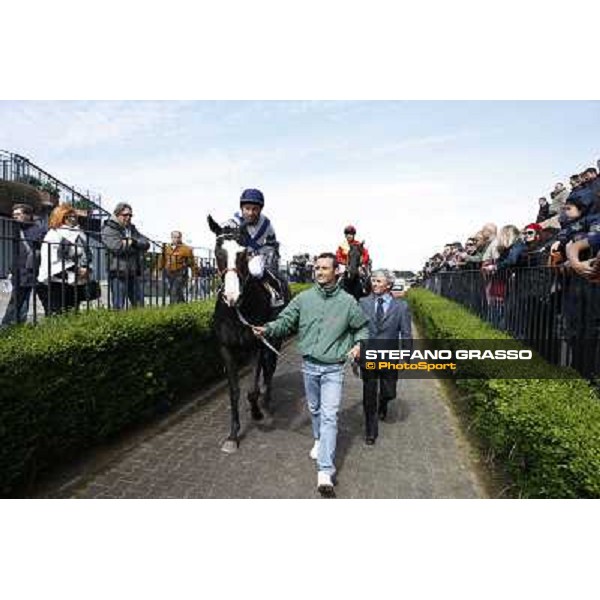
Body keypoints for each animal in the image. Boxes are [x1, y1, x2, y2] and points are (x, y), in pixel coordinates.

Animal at [207, 213, 290, 452]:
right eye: (218, 251)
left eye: (243, 253)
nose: (232, 296)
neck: (237, 311)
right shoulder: (226, 348)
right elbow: (234, 391)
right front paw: (233, 435)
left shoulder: (257, 345)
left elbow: (251, 389)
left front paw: (257, 412)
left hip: (275, 339)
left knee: (269, 369)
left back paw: (267, 402)